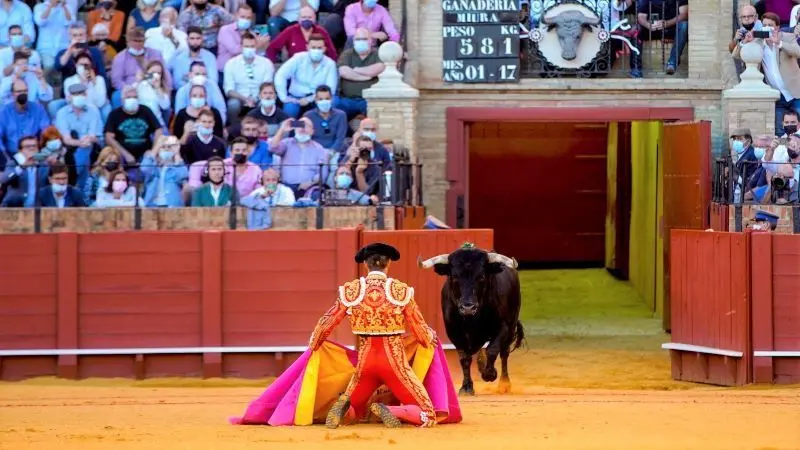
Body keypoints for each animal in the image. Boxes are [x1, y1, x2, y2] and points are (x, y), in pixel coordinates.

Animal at [418, 248, 524, 396]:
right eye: (455, 277)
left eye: (482, 277)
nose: (468, 307)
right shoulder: (454, 332)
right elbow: (465, 358)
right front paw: (466, 387)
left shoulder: (503, 326)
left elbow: (492, 349)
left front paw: (489, 374)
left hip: (512, 323)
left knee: (504, 352)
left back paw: (504, 384)